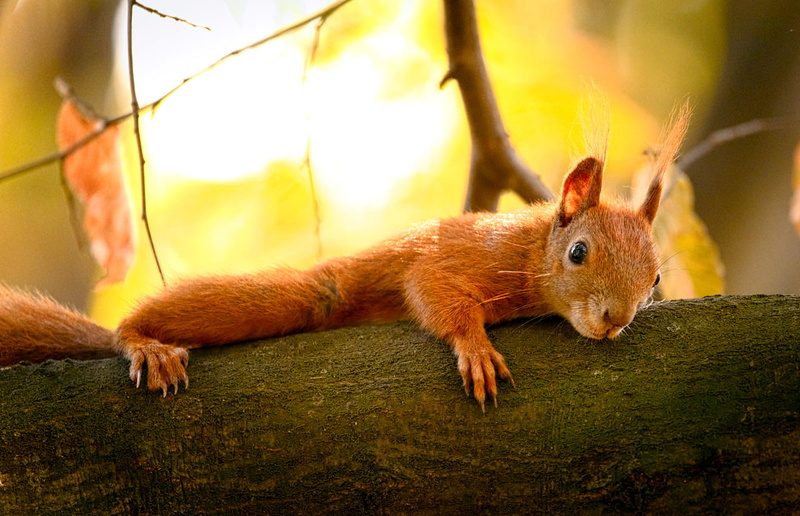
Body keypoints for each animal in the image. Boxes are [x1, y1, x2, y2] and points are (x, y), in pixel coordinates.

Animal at [0, 105, 689, 411]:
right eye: (578, 253)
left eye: (656, 278)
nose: (615, 319)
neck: (528, 249)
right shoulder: (464, 258)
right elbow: (434, 293)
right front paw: (475, 348)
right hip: (313, 295)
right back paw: (141, 342)